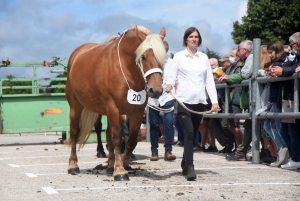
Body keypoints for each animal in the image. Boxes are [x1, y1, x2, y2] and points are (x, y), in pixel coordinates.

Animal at [64, 24, 166, 181]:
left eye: (163, 57)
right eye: (143, 57)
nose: (156, 90)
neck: (124, 68)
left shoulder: (136, 111)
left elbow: (131, 140)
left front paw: (124, 163)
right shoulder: (113, 108)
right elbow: (117, 138)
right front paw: (119, 170)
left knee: (107, 134)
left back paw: (109, 165)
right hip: (76, 106)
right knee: (75, 132)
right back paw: (73, 166)